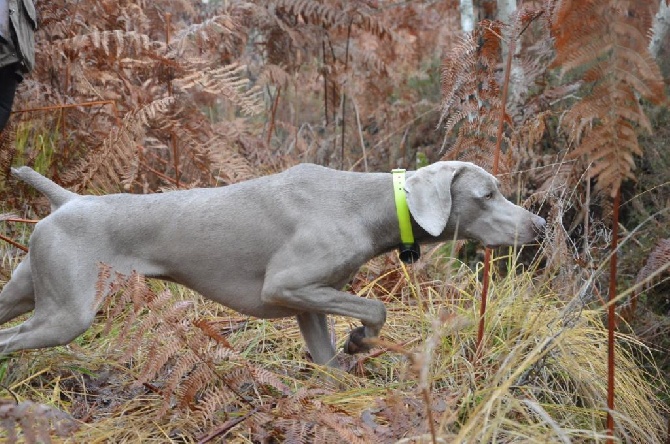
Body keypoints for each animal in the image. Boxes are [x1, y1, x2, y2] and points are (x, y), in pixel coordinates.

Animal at [0, 161, 544, 366]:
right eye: (488, 194)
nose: (540, 225)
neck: (365, 205)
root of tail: (69, 201)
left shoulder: (310, 304)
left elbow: (328, 360)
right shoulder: (285, 285)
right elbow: (375, 308)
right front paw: (360, 340)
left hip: (29, 289)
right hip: (68, 313)